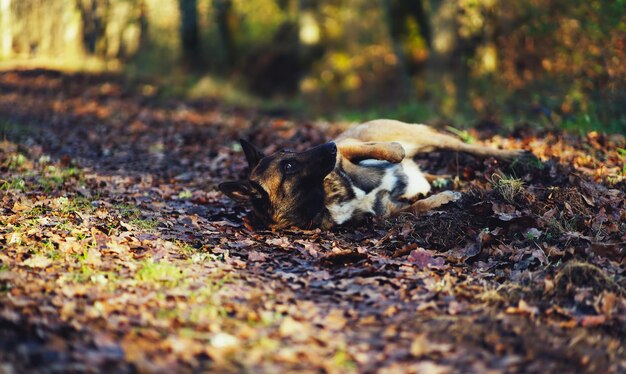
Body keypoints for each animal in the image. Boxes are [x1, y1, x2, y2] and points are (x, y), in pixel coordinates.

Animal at [217, 120, 528, 231]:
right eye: (288, 167)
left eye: (289, 152)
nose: (328, 145)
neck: (324, 195)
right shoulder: (387, 212)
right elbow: (416, 207)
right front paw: (440, 198)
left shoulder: (347, 149)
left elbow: (386, 151)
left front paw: (394, 154)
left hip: (427, 137)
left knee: (468, 146)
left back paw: (520, 156)